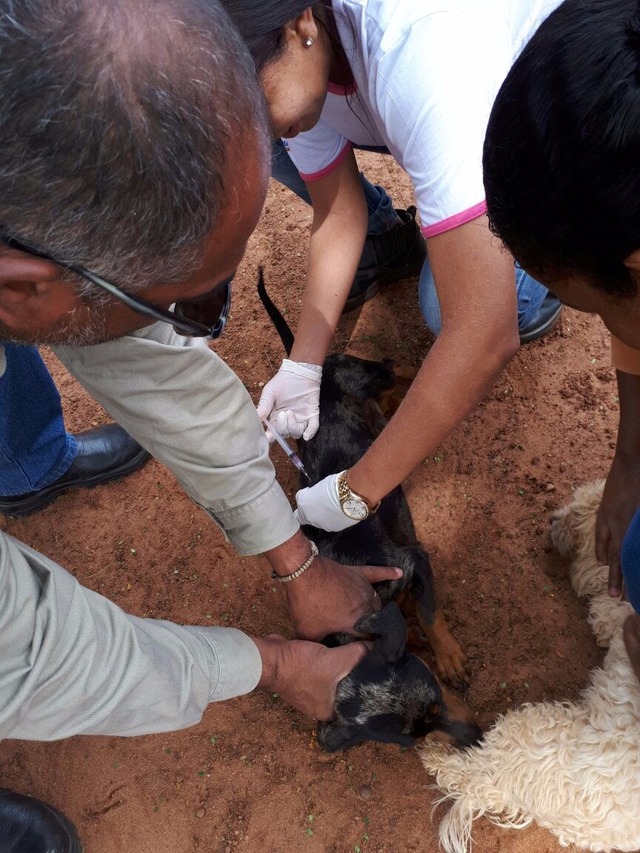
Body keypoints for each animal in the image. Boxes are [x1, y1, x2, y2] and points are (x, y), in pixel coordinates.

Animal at [256, 272, 480, 752]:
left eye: (436, 695)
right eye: (412, 740)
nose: (475, 736)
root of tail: (317, 371)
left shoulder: (413, 559)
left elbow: (431, 614)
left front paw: (449, 655)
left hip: (365, 373)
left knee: (395, 365)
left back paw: (416, 374)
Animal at [420, 482, 640, 848]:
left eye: (577, 512)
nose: (551, 517)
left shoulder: (613, 617)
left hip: (528, 731)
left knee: (467, 769)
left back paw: (435, 755)